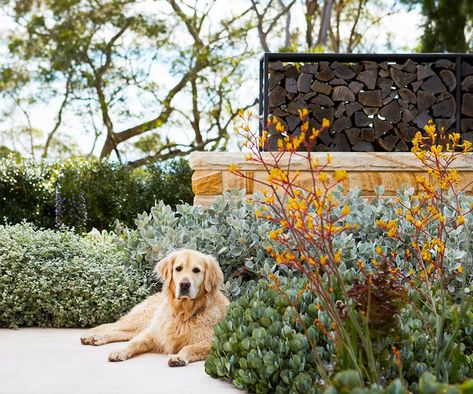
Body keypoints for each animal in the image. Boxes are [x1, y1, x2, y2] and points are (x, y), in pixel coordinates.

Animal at [79, 249, 229, 366]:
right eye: (178, 268)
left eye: (196, 270)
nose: (184, 284)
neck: (182, 312)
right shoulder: (155, 333)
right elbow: (134, 343)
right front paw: (120, 351)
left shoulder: (213, 342)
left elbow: (189, 347)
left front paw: (178, 357)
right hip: (142, 319)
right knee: (112, 327)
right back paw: (93, 336)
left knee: (120, 332)